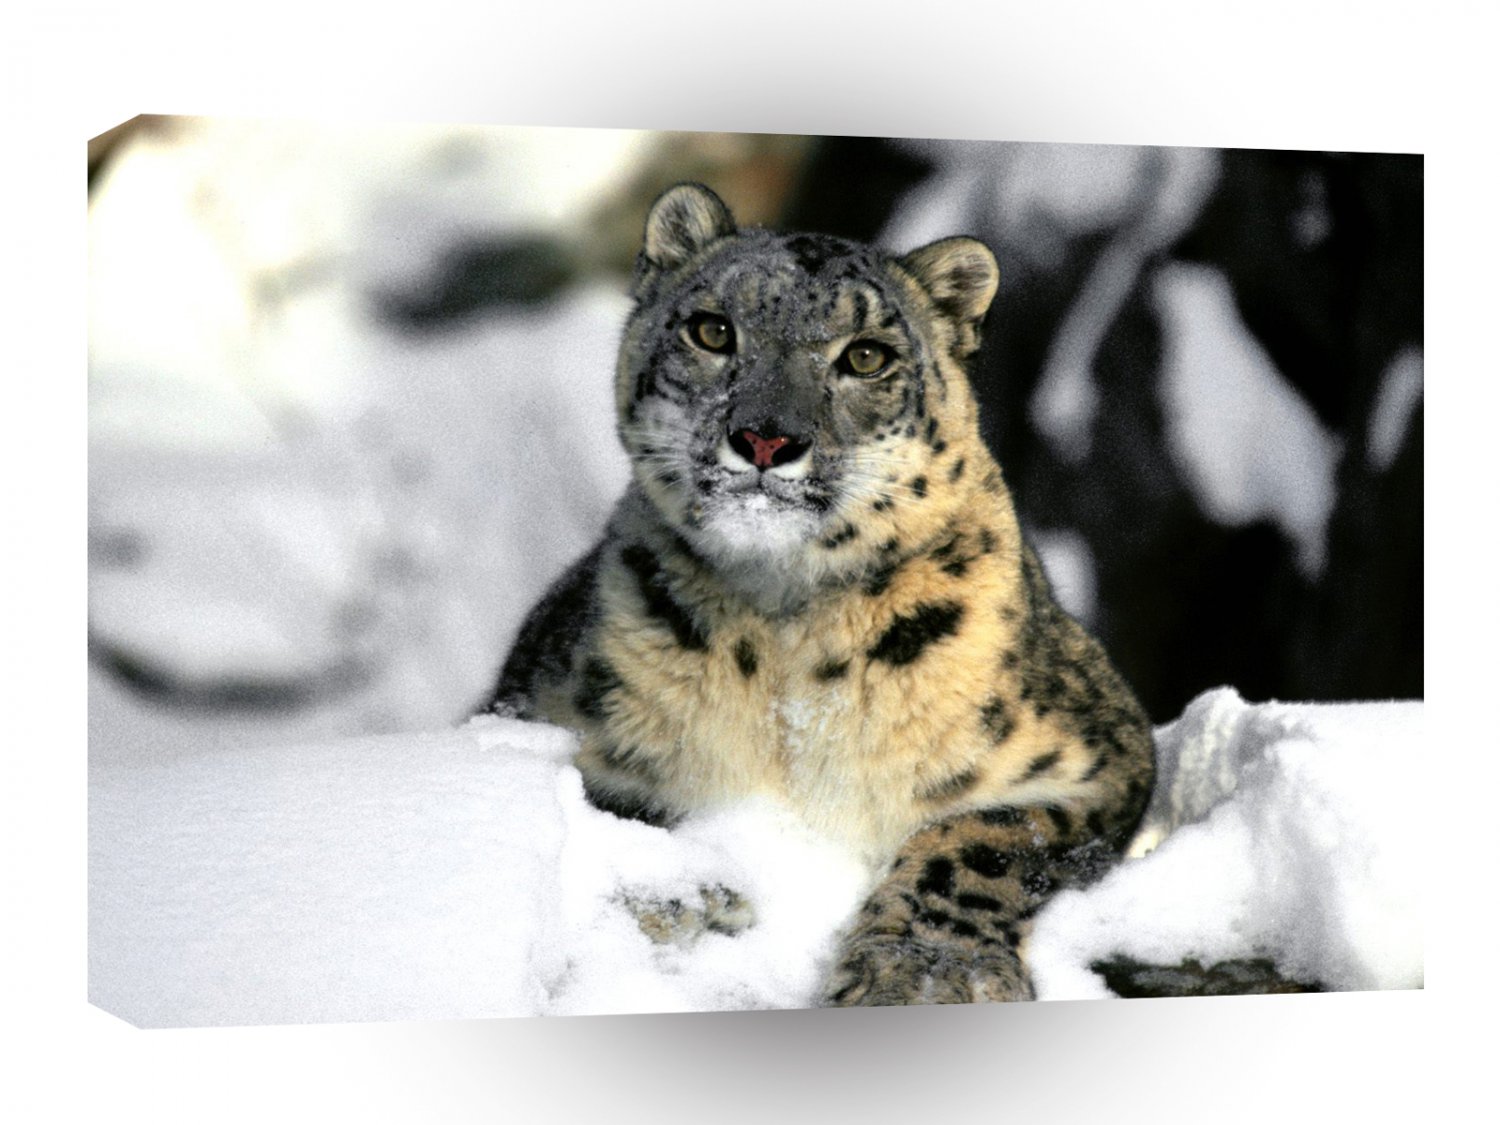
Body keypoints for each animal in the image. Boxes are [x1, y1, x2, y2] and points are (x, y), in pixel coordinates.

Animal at [487, 182, 1155, 1006]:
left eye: (866, 355)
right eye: (712, 330)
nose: (766, 439)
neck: (783, 640)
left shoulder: (1098, 755)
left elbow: (983, 837)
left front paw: (925, 970)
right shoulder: (535, 714)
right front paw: (687, 892)